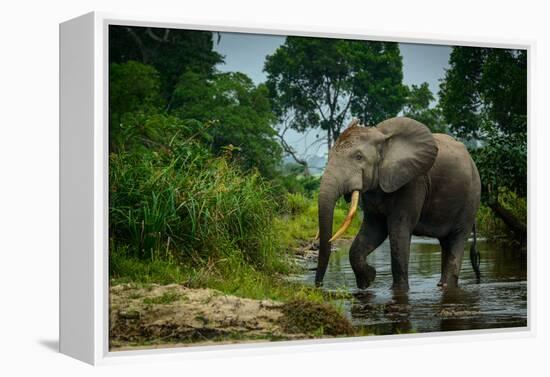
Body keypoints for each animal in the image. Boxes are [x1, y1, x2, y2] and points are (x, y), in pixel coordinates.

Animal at [316, 116, 480, 290]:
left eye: (359, 157)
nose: (318, 286)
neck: (383, 138)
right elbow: (373, 229)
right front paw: (367, 280)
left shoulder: (413, 181)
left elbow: (398, 230)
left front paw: (398, 290)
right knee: (446, 243)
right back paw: (441, 285)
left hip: (471, 197)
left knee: (457, 238)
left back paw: (447, 286)